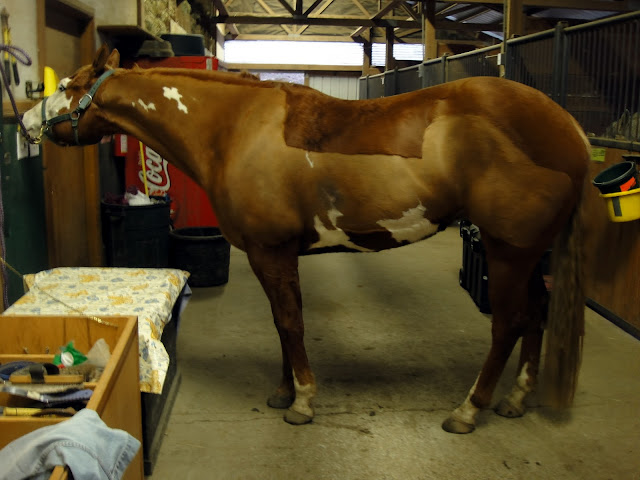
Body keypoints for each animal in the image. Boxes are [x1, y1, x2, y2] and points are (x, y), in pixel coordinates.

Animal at [22, 45, 589, 434]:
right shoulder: (270, 255)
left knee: (509, 322)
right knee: (536, 313)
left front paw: (301, 401)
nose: (26, 122)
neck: (234, 129)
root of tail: (570, 128)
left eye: (68, 84)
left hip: (508, 250)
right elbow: (281, 323)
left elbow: (291, 323)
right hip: (527, 254)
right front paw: (283, 391)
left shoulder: (270, 251)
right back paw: (516, 399)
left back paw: (469, 410)